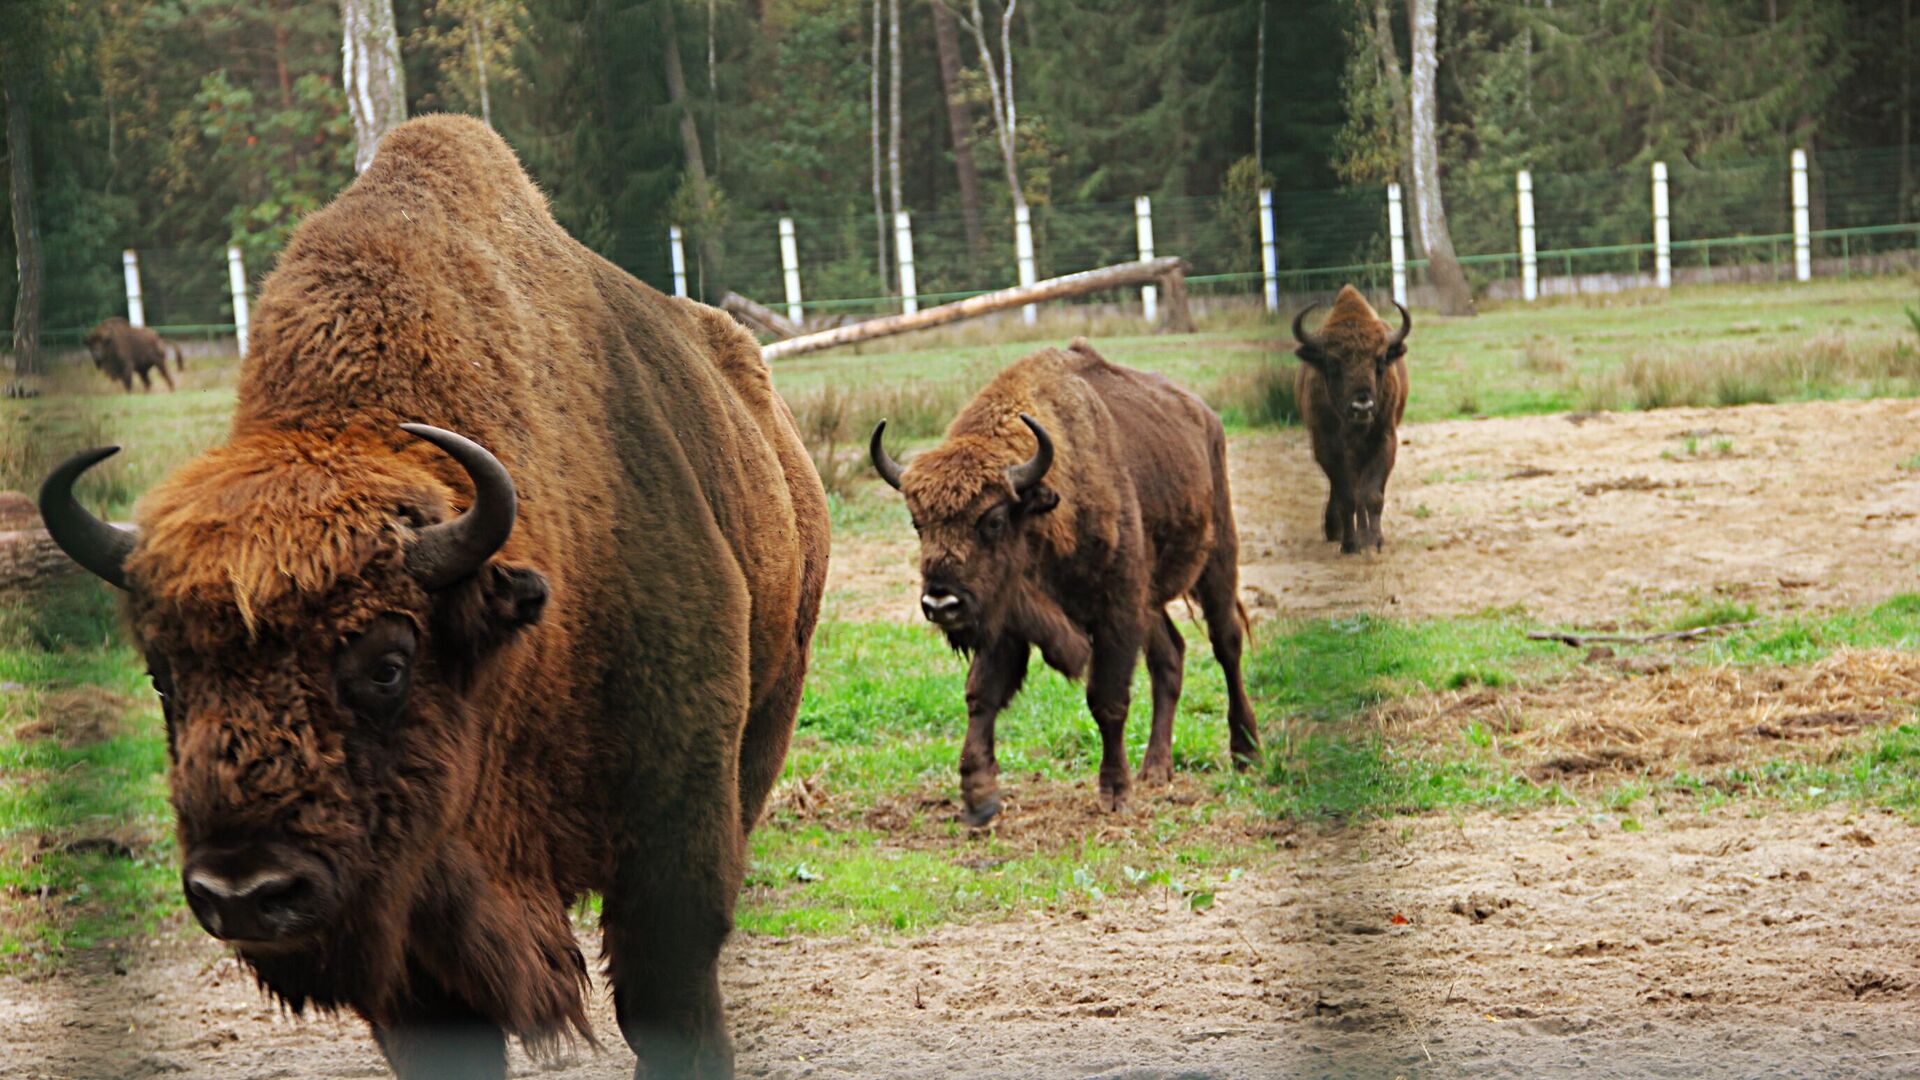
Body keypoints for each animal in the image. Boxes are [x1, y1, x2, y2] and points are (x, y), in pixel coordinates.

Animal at [39, 115, 825, 1076]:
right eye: (162, 676)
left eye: (388, 665)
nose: (245, 891)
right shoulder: (411, 932)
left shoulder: (672, 838)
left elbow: (670, 999)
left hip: (772, 706)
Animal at [871, 340, 1259, 818]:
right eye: (917, 523)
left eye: (994, 520)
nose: (941, 604)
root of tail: (1206, 417)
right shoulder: (1006, 616)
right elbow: (982, 694)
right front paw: (979, 796)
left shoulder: (1116, 612)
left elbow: (1107, 700)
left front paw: (1114, 792)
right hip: (1151, 599)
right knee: (1170, 655)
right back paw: (1156, 768)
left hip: (1216, 560)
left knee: (1227, 645)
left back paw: (1246, 753)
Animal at [1290, 282, 1413, 549]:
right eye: (1332, 363)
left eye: (1380, 361)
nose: (1362, 407)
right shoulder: (1327, 446)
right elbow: (1347, 496)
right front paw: (1350, 544)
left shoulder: (1384, 440)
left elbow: (1372, 494)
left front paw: (1374, 540)